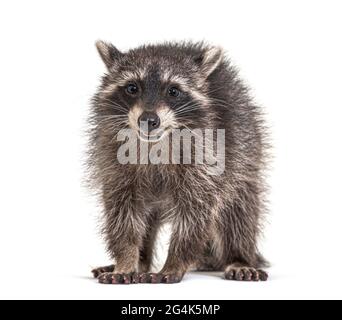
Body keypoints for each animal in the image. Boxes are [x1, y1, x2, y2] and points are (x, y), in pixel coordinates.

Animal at [88, 40, 270, 284]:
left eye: (173, 91)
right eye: (132, 88)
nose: (148, 120)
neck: (156, 143)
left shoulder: (209, 158)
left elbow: (194, 215)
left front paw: (174, 262)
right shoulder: (112, 159)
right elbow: (122, 215)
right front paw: (126, 260)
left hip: (245, 155)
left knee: (238, 210)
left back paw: (239, 256)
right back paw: (141, 262)